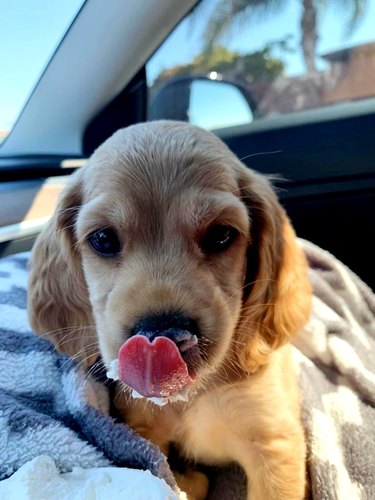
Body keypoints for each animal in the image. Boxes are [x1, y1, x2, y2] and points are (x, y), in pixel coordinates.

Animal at [28, 121, 312, 500]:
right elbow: (168, 474)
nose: (163, 336)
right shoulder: (143, 431)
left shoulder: (275, 444)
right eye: (103, 239)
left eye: (221, 235)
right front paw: (191, 479)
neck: (191, 396)